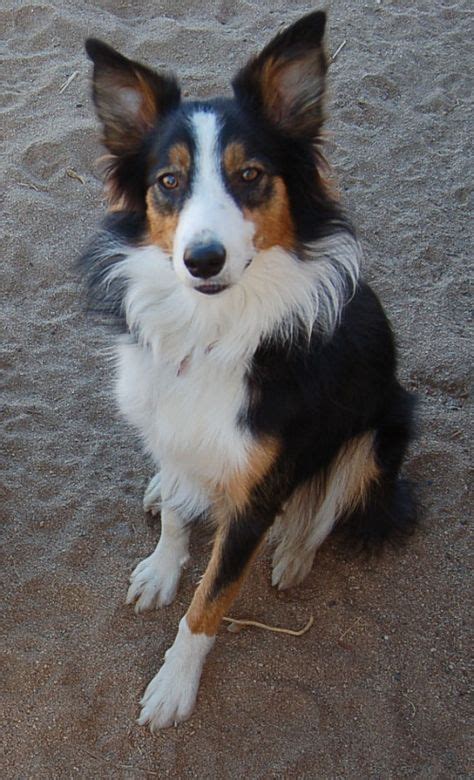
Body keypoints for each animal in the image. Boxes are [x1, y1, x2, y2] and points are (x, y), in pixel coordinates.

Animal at [79, 10, 416, 732]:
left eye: (252, 174)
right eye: (168, 181)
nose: (203, 259)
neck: (211, 330)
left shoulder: (260, 490)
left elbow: (209, 601)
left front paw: (174, 685)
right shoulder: (168, 422)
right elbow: (179, 518)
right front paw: (162, 566)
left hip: (385, 427)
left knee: (333, 500)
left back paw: (293, 552)